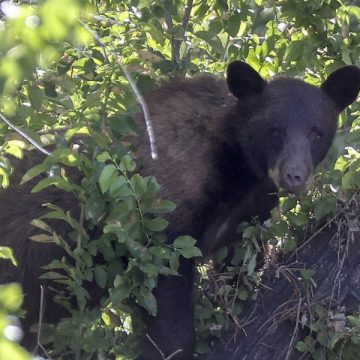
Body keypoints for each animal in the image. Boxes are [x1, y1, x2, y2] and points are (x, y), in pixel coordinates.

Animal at [0, 60, 358, 358]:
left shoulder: (249, 213)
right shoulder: (163, 209)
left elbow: (240, 267)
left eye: (316, 133)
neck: (238, 170)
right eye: (274, 130)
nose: (294, 175)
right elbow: (167, 297)